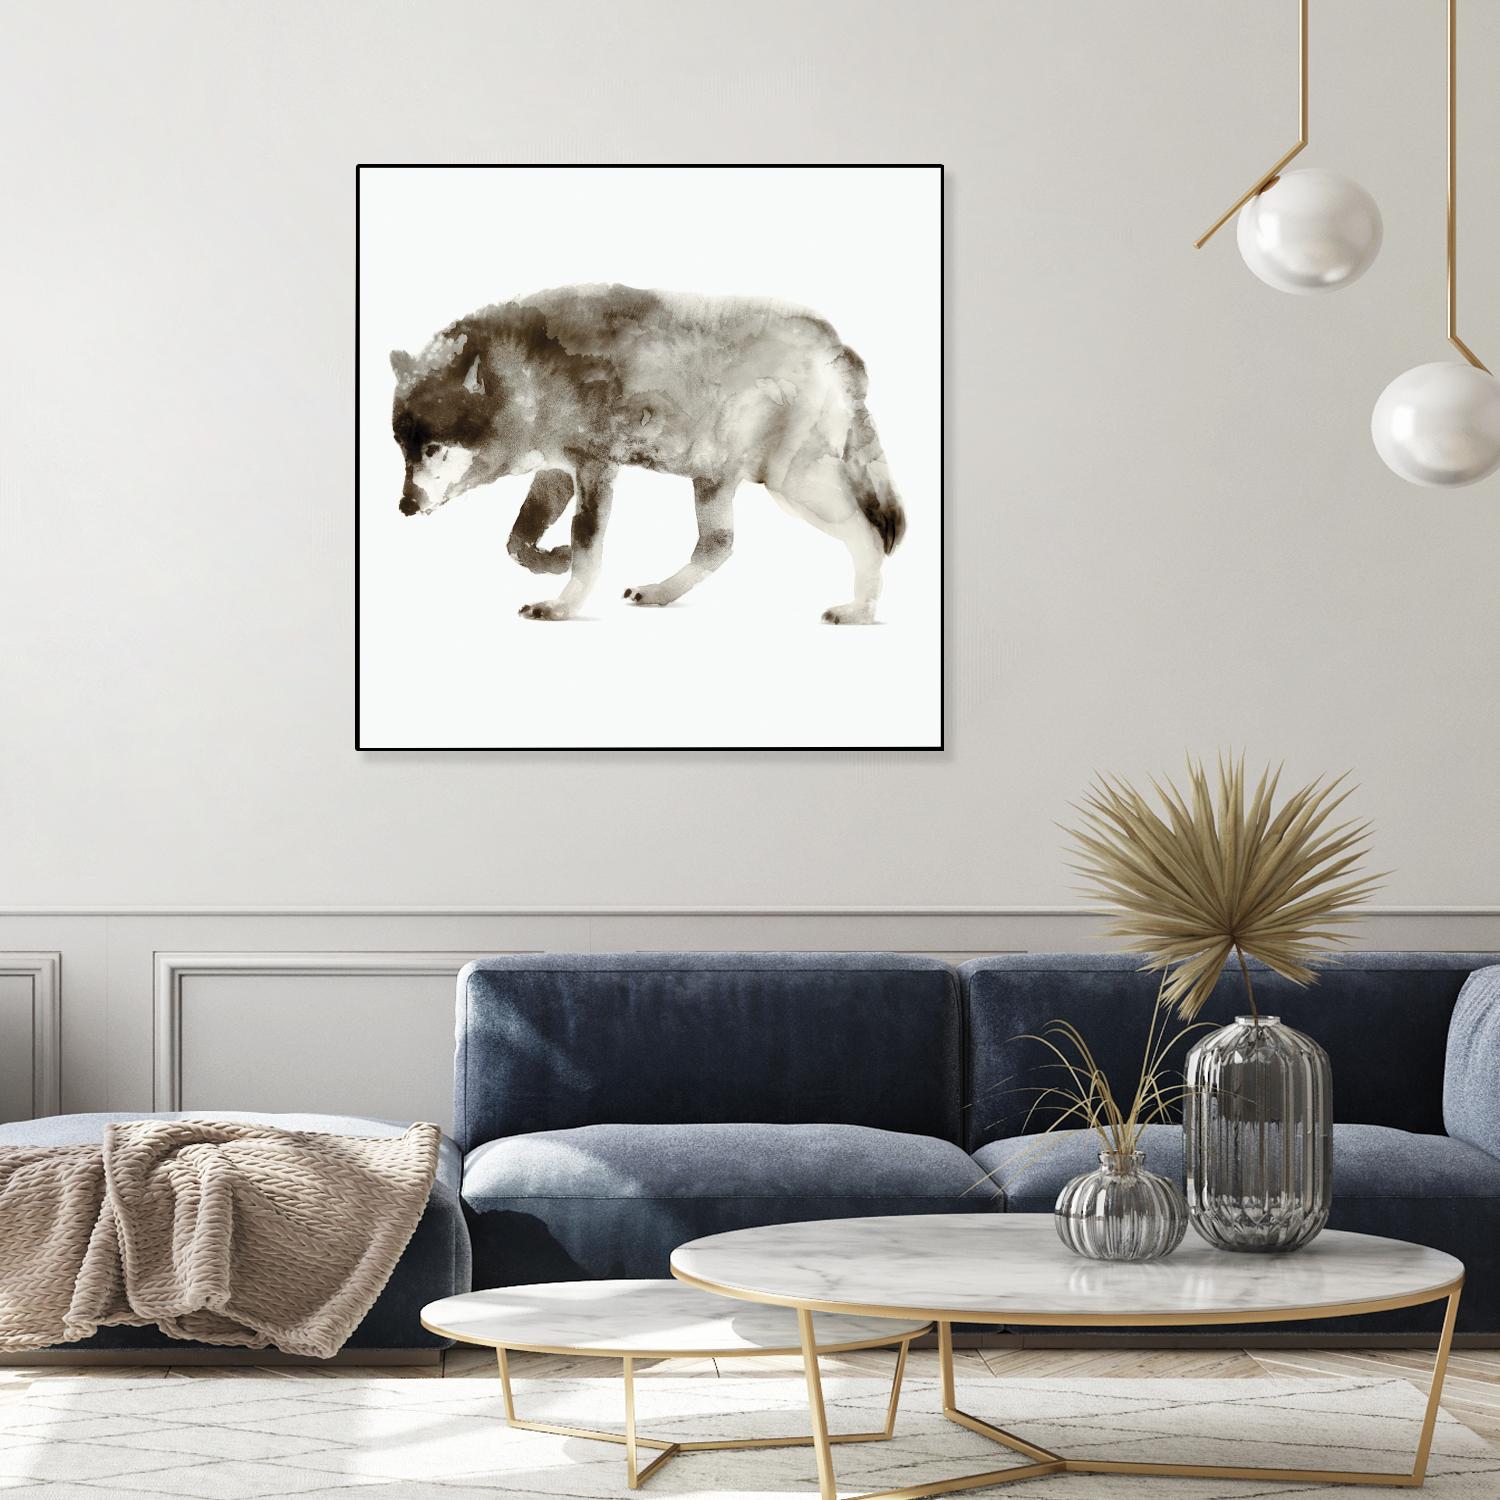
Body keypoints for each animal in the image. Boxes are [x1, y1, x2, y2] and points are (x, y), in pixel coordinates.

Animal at [388, 284, 905, 622]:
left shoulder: (595, 468)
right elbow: (517, 540)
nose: (405, 506)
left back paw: (860, 611)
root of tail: (835, 344)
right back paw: (659, 593)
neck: (525, 375)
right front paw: (553, 560)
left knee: (869, 534)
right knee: (719, 545)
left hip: (791, 484)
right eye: (402, 449)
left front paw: (562, 604)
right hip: (714, 478)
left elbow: (586, 546)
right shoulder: (558, 470)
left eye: (433, 449)